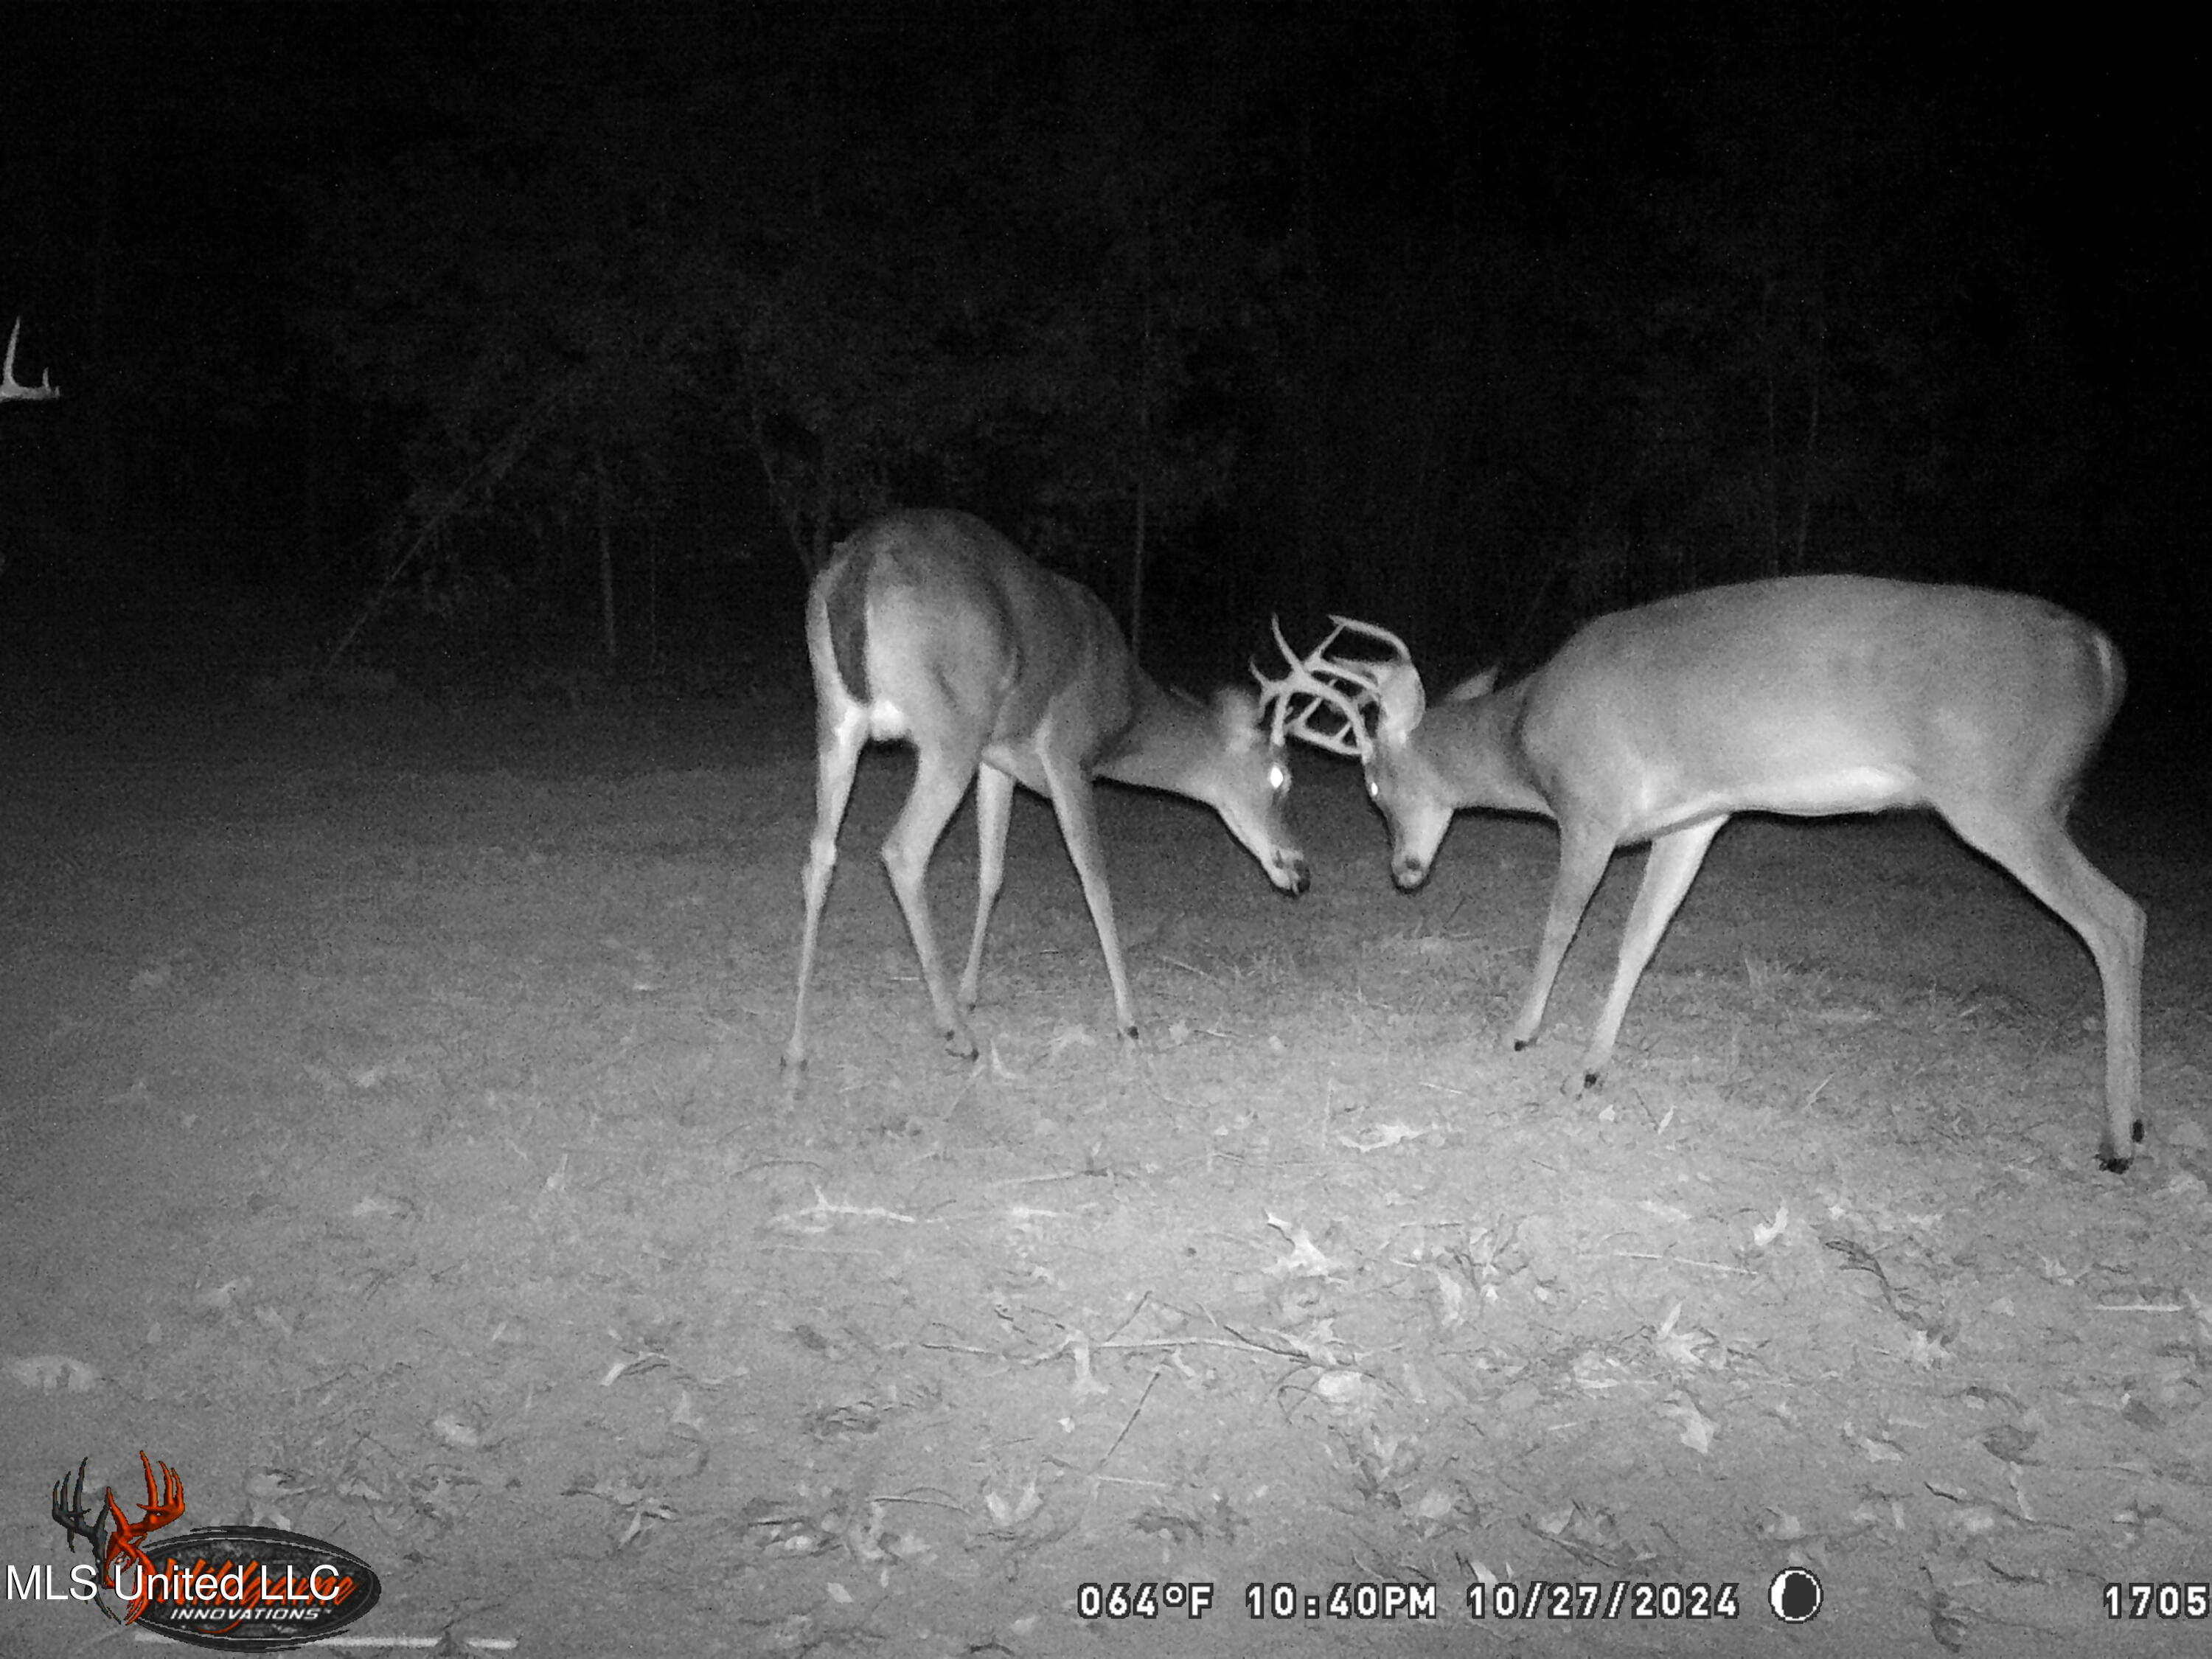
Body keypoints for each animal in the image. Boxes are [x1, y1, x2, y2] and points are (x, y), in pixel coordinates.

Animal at [783, 509, 1310, 1080]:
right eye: (1280, 778)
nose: (1301, 871)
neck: (1123, 716)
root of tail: (860, 563)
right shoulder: (1067, 753)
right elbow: (1094, 876)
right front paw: (1130, 1023)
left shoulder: (998, 760)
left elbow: (992, 873)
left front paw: (970, 993)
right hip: (951, 729)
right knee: (902, 851)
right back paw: (957, 1036)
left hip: (837, 716)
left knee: (820, 854)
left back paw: (797, 1047)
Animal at [1258, 577, 2146, 1170]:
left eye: (1377, 789)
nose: (1405, 872)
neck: (1527, 732)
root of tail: (2107, 659)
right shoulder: (1693, 820)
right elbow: (1640, 939)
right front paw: (1591, 1068)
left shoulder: (1593, 807)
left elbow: (1562, 927)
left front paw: (1522, 1032)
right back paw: (2134, 1125)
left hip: (2001, 799)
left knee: (2119, 917)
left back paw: (2118, 1136)